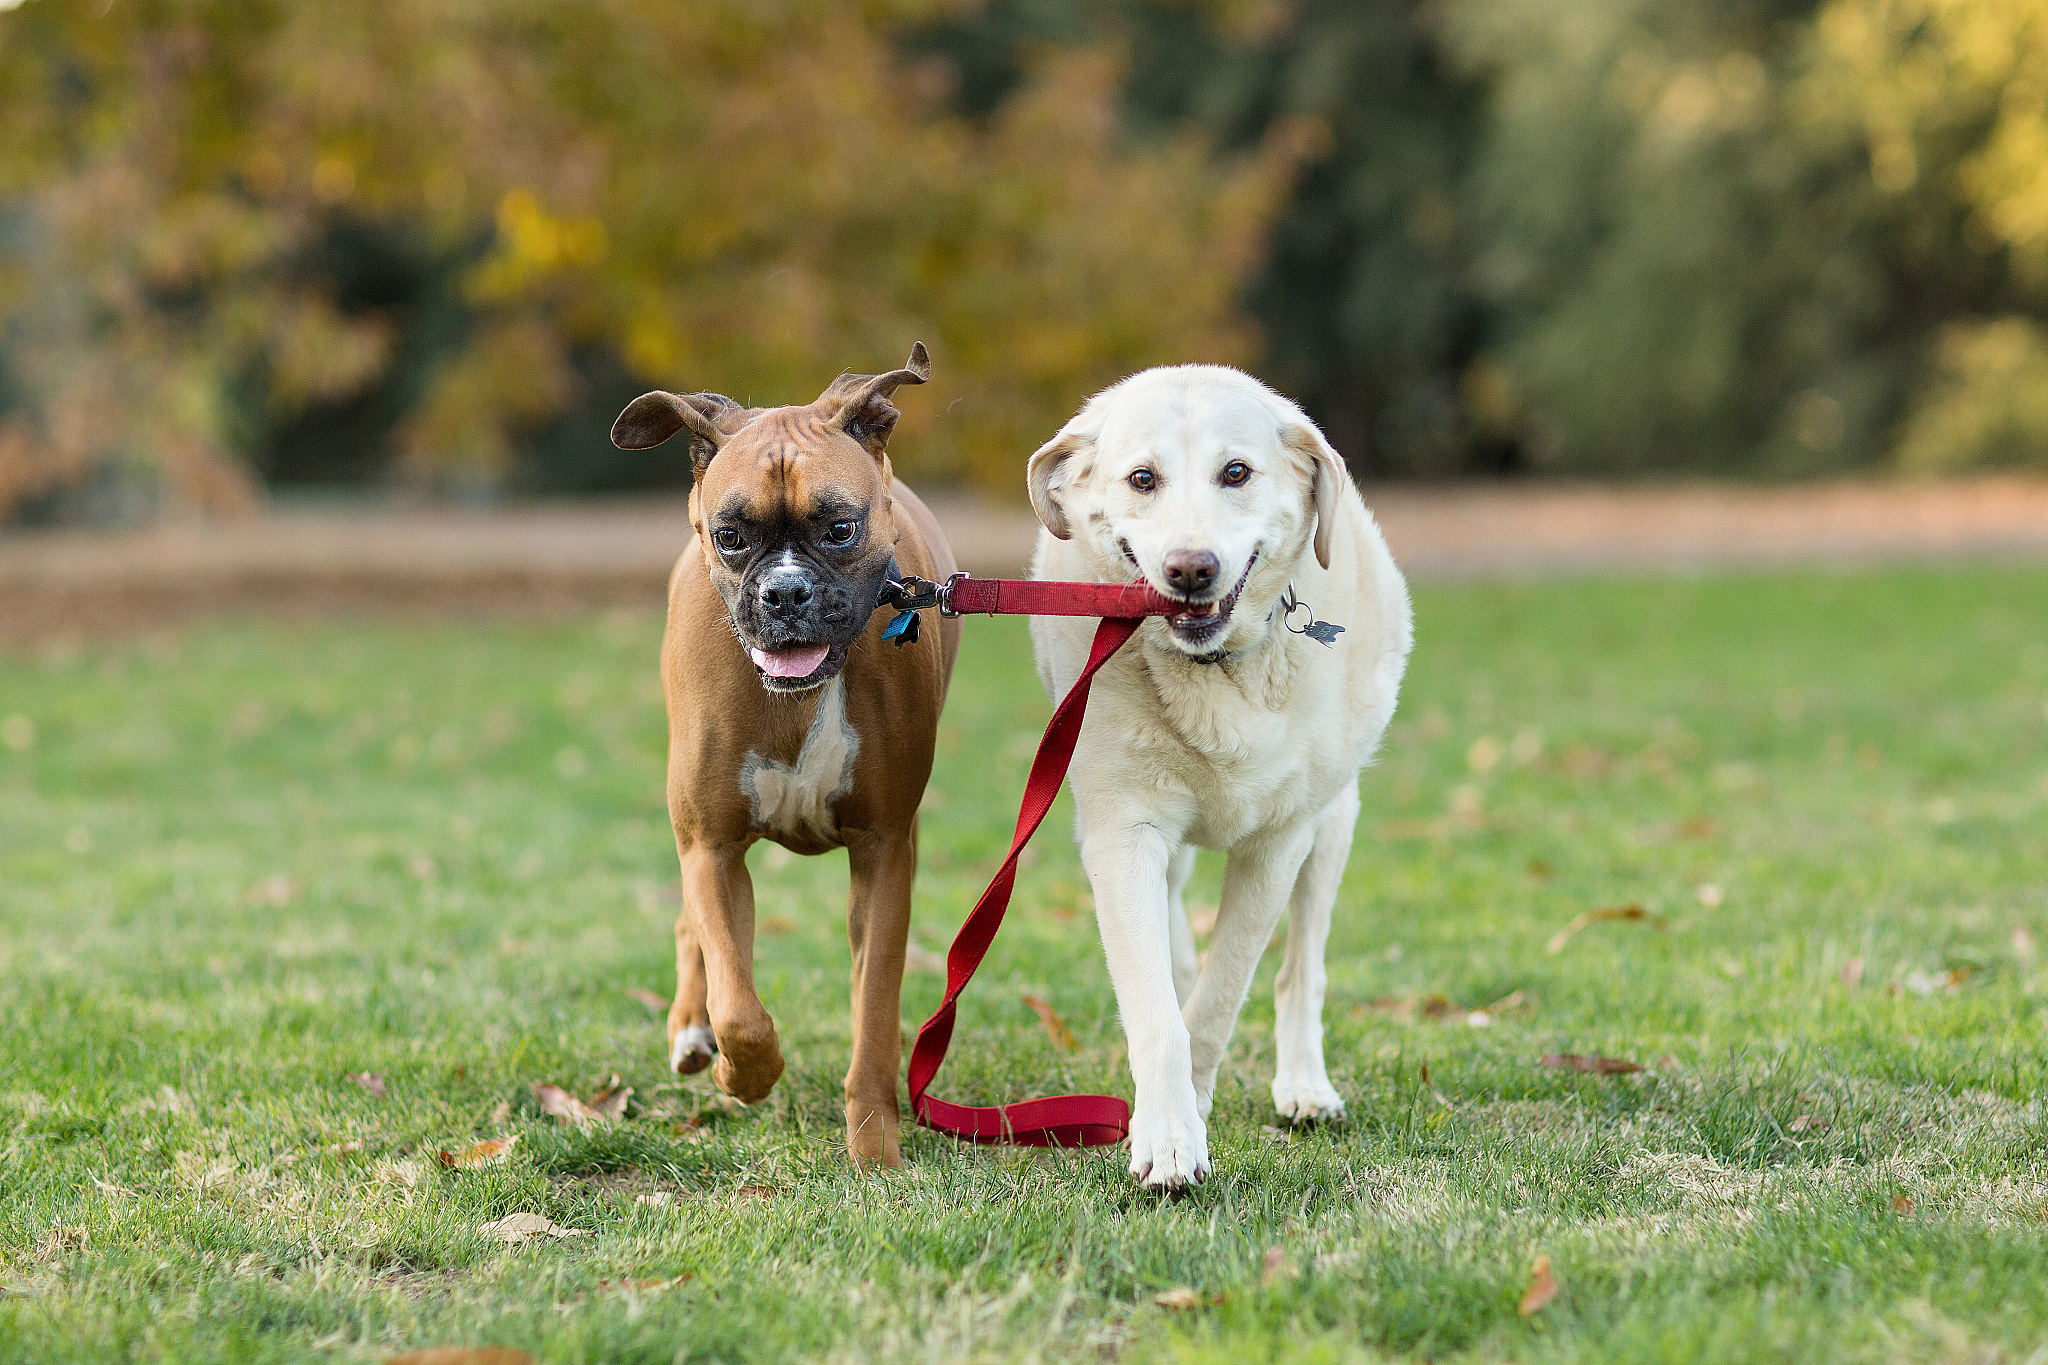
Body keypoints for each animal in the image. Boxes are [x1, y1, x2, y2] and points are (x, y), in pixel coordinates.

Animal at [606, 347, 958, 1170]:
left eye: (840, 527)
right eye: (732, 534)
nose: (786, 592)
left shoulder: (884, 855)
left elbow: (874, 1013)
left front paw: (874, 1147)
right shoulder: (712, 847)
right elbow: (738, 1004)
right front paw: (745, 1073)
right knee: (692, 934)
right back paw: (692, 1031)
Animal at [1024, 362, 1409, 1186]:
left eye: (1236, 472)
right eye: (1143, 478)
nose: (1190, 568)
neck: (1213, 673)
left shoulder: (1278, 843)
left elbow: (1218, 1001)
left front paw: (1184, 1121)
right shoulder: (1124, 832)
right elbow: (1157, 1009)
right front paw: (1167, 1134)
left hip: (1333, 824)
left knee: (1301, 968)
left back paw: (1304, 1086)